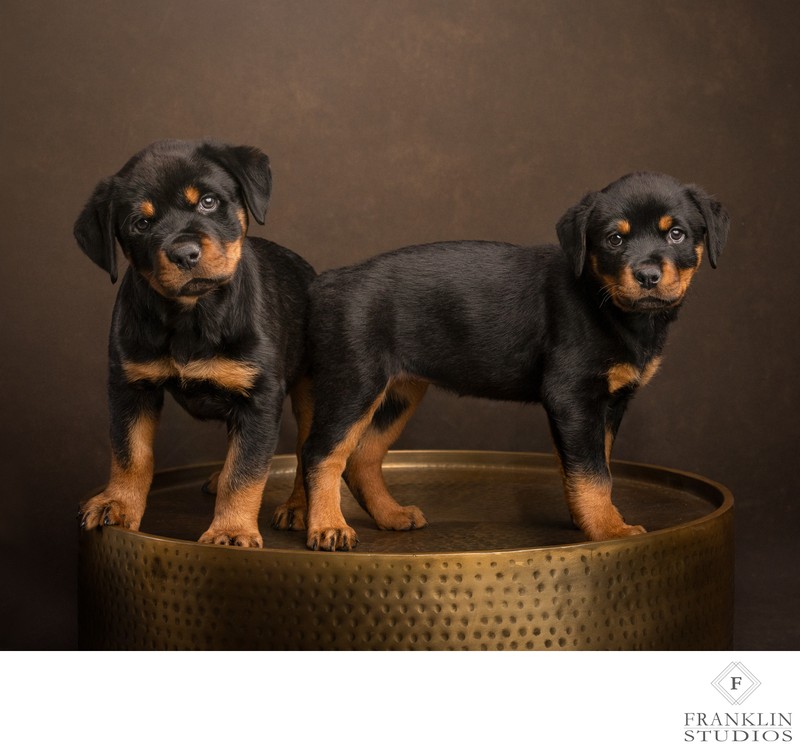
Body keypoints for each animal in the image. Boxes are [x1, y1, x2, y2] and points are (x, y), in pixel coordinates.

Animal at [74, 140, 312, 548]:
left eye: (208, 202)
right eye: (141, 223)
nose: (185, 254)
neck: (192, 314)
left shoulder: (260, 397)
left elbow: (245, 471)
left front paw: (231, 530)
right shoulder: (129, 385)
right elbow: (130, 453)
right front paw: (117, 504)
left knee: (307, 449)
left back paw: (298, 506)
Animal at [276, 172, 732, 552]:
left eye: (677, 234)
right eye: (614, 240)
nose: (648, 276)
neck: (607, 303)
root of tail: (328, 282)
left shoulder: (608, 404)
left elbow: (591, 463)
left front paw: (590, 519)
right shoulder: (571, 394)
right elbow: (593, 472)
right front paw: (610, 530)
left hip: (398, 392)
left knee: (362, 456)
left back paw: (391, 515)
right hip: (354, 381)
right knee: (321, 451)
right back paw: (328, 527)